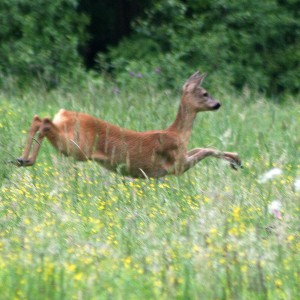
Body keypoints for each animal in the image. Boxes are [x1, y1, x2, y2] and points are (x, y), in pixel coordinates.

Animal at [15, 71, 241, 177]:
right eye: (205, 93)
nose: (218, 104)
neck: (177, 134)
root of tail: (63, 114)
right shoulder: (176, 165)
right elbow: (206, 150)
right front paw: (235, 160)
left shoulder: (181, 155)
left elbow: (202, 147)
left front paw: (235, 159)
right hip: (76, 147)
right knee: (44, 122)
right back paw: (27, 159)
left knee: (38, 118)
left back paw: (21, 159)